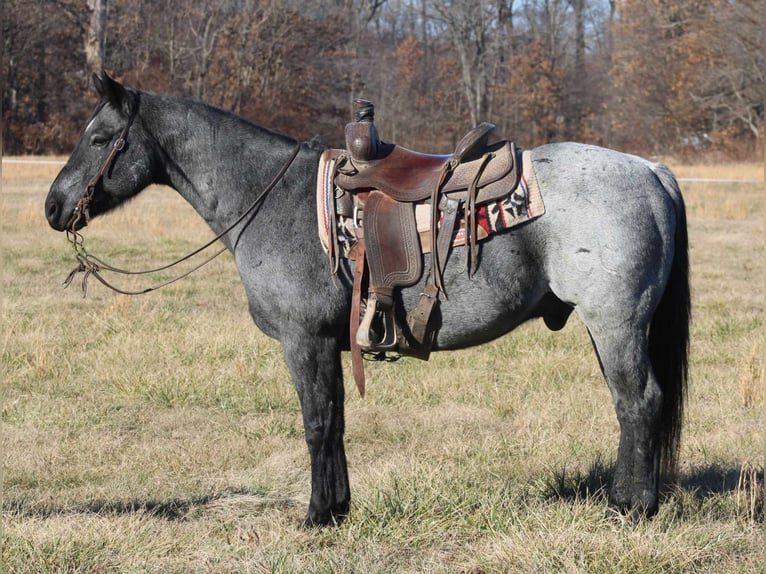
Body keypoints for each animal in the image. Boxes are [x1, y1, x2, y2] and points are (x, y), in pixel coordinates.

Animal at [43, 73, 688, 532]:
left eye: (98, 138)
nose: (54, 207)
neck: (272, 200)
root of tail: (650, 170)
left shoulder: (303, 341)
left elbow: (317, 422)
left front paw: (317, 516)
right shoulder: (328, 343)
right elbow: (335, 421)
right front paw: (339, 508)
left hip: (615, 324)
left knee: (639, 403)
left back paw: (630, 509)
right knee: (634, 405)